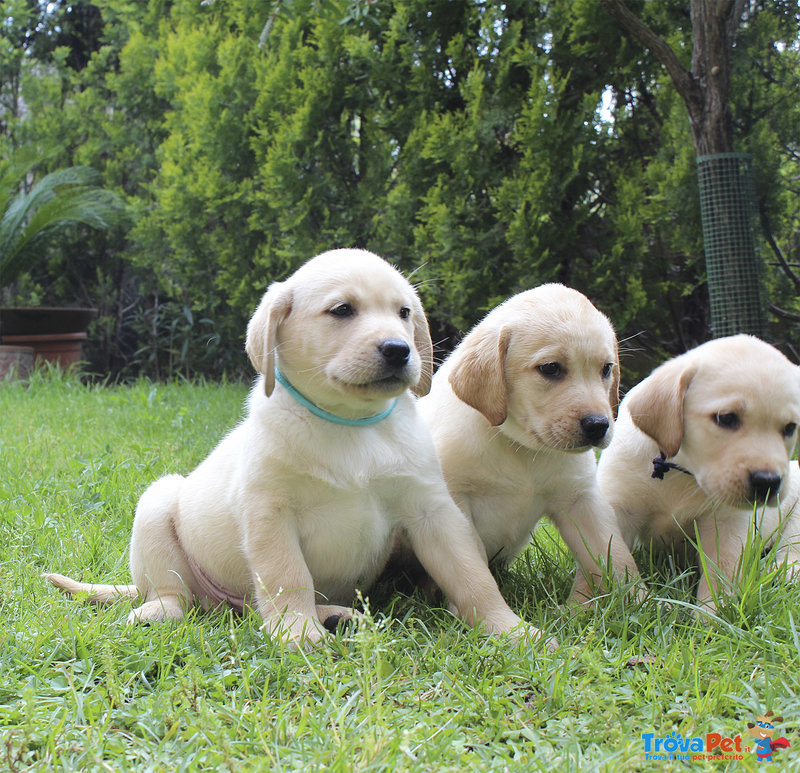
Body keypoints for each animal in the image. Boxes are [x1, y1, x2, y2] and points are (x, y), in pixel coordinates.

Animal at [416, 284, 640, 604]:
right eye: (551, 368)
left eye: (607, 369)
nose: (599, 425)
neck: (519, 447)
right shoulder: (456, 500)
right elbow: (473, 566)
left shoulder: (581, 498)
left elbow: (616, 556)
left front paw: (642, 600)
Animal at [596, 334, 800, 608]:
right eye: (726, 418)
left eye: (790, 427)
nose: (768, 482)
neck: (680, 471)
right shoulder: (619, 506)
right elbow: (616, 558)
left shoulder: (726, 522)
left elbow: (721, 572)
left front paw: (711, 613)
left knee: (790, 550)